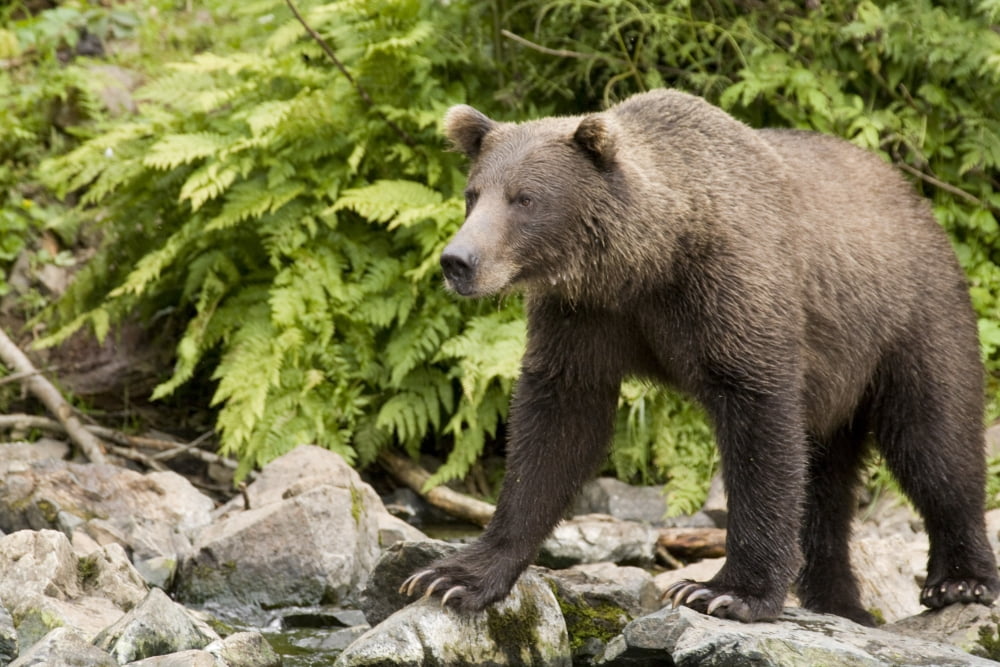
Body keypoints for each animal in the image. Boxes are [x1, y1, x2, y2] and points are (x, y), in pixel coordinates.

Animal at [400, 88, 1000, 625]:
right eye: (474, 194)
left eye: (525, 198)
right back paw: (840, 602)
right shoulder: (584, 319)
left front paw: (725, 591)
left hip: (908, 321)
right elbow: (556, 426)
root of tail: (916, 199)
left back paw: (960, 580)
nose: (458, 260)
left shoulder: (729, 293)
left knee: (935, 442)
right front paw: (453, 576)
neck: (645, 263)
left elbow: (760, 429)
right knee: (829, 481)